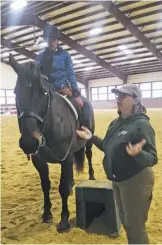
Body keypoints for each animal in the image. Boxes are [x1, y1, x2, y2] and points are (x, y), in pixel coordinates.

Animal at [8, 54, 95, 234]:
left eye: (44, 92)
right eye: (15, 93)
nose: (29, 142)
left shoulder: (66, 158)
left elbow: (62, 189)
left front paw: (64, 221)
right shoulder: (39, 161)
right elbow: (45, 185)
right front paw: (47, 214)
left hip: (88, 141)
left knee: (89, 155)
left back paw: (91, 176)